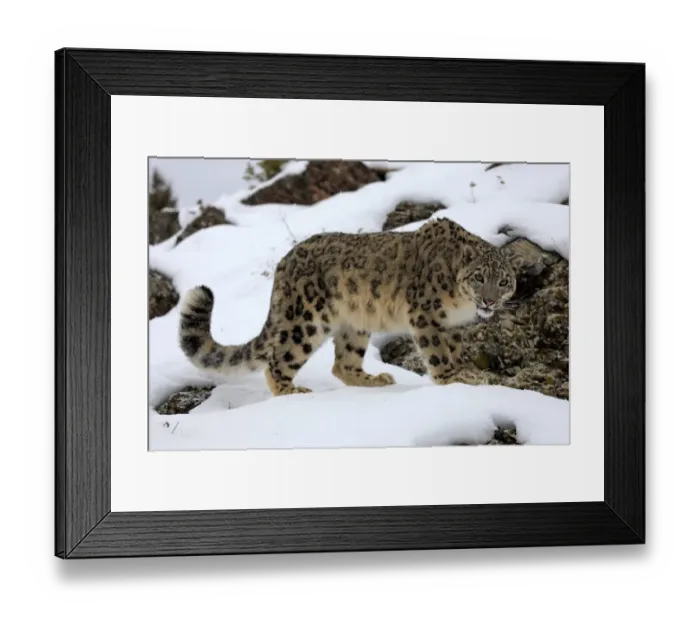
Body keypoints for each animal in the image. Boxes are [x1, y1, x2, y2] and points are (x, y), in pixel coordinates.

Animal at [178, 217, 521, 397]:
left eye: (504, 281)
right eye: (479, 277)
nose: (489, 300)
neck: (461, 304)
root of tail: (283, 264)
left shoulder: (451, 325)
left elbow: (452, 350)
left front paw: (464, 372)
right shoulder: (426, 316)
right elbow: (437, 352)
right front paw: (452, 378)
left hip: (355, 325)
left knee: (342, 365)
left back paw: (375, 380)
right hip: (305, 320)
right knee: (277, 361)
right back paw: (292, 392)